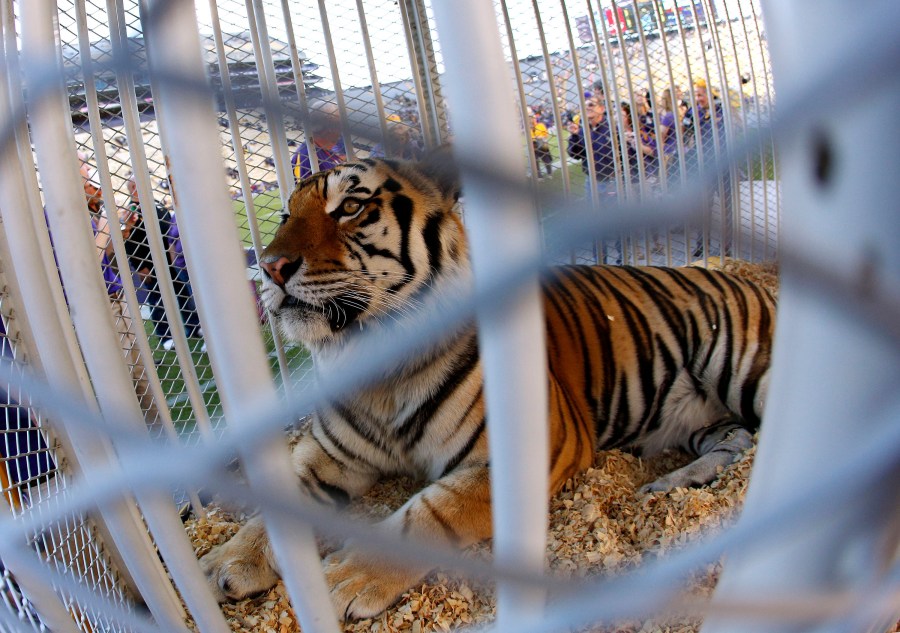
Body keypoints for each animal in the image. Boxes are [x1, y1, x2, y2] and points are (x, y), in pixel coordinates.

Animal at [200, 147, 776, 616]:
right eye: (285, 214)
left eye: (350, 207)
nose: (270, 267)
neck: (375, 370)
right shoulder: (326, 454)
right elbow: (278, 504)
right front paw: (226, 562)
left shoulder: (530, 451)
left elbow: (427, 513)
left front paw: (343, 578)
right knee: (736, 440)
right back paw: (671, 484)